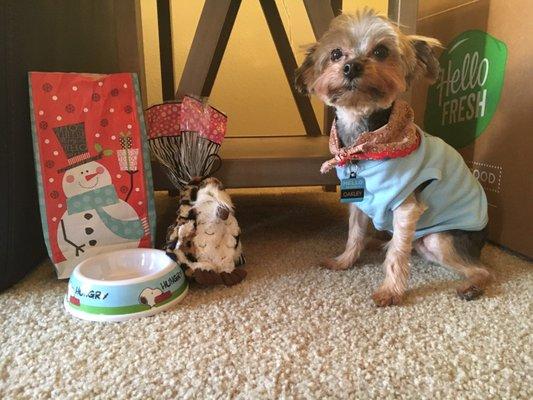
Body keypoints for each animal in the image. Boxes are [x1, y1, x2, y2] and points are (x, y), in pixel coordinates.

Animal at [296, 10, 490, 306]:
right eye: (336, 53)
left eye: (381, 51)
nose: (351, 66)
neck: (365, 141)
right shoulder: (359, 200)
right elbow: (354, 233)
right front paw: (344, 261)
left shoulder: (406, 208)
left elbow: (398, 254)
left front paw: (391, 291)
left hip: (439, 239)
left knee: (483, 269)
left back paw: (472, 286)